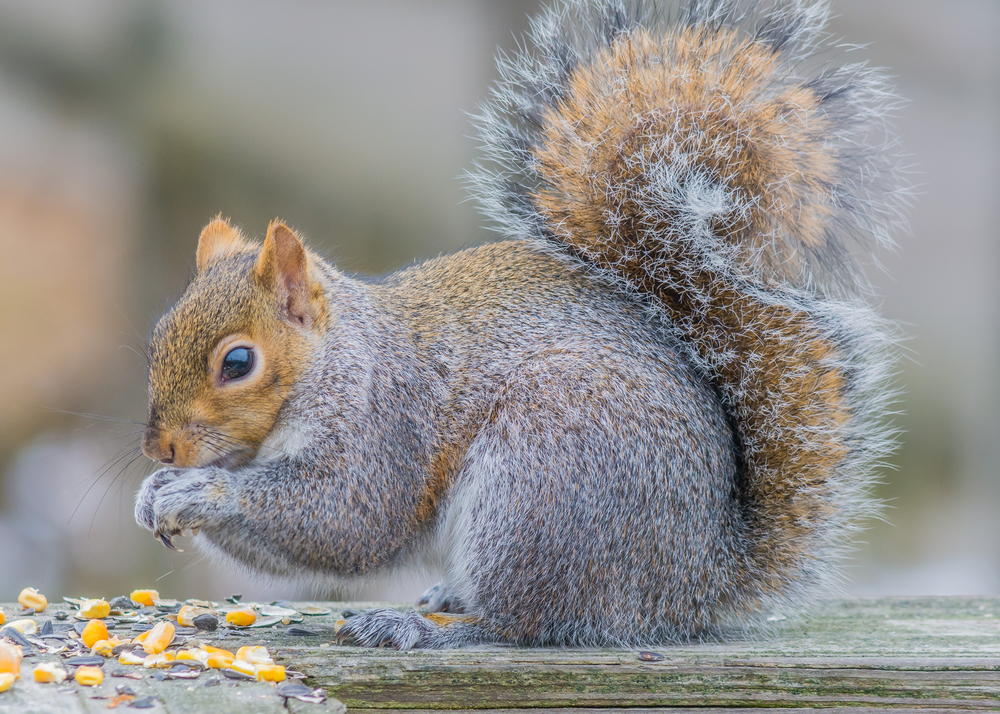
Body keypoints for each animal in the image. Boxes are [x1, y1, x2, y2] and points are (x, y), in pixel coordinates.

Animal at [133, 0, 908, 644]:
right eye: (157, 337)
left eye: (238, 363)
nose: (159, 449)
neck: (336, 359)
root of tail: (692, 582)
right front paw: (153, 495)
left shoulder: (384, 424)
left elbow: (346, 519)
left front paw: (198, 493)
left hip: (540, 482)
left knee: (522, 621)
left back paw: (431, 627)